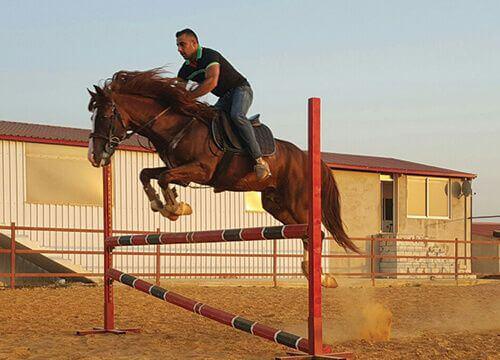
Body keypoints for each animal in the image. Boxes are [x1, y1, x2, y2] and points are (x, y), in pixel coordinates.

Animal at [88, 69, 358, 288]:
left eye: (104, 116)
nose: (94, 155)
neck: (175, 125)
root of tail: (307, 157)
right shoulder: (180, 170)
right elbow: (146, 173)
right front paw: (160, 204)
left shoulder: (200, 170)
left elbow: (164, 178)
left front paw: (176, 208)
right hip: (276, 205)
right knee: (304, 233)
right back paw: (311, 273)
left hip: (297, 201)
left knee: (316, 233)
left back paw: (321, 277)